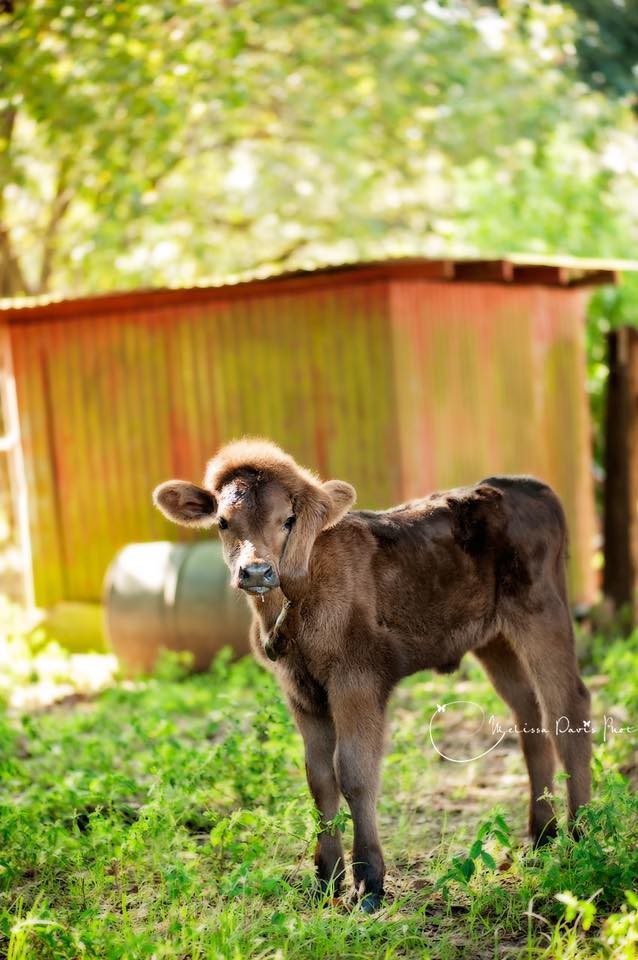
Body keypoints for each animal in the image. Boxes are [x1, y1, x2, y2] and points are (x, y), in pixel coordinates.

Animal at [155, 438, 596, 912]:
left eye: (288, 519)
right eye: (222, 521)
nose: (256, 571)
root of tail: (527, 485)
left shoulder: (357, 679)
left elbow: (353, 771)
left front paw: (369, 882)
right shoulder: (299, 690)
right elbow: (319, 778)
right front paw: (325, 879)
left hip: (543, 612)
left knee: (568, 707)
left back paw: (581, 834)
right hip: (495, 640)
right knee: (530, 715)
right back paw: (543, 835)